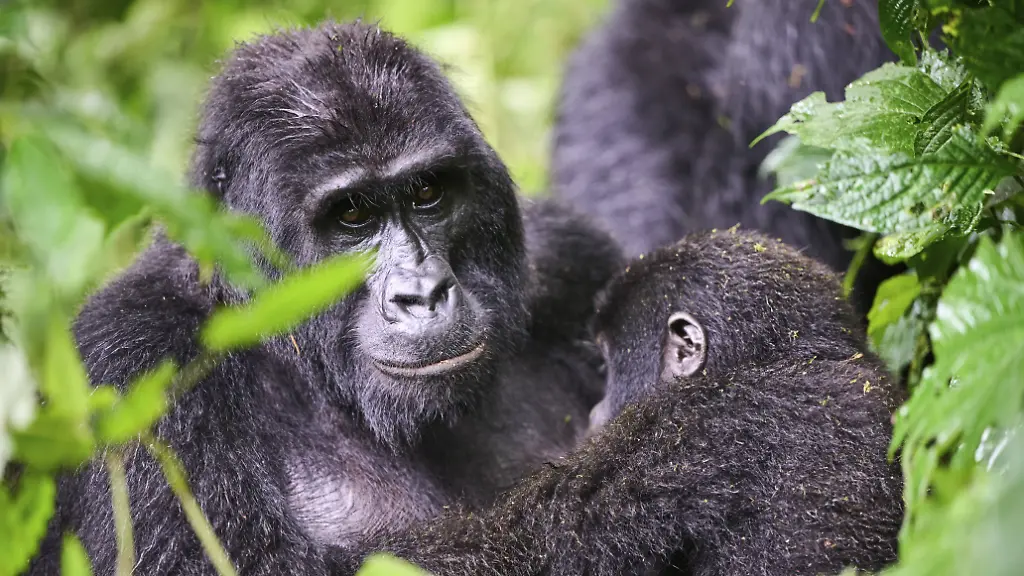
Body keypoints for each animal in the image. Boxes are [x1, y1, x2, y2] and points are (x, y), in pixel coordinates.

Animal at [28, 21, 624, 576]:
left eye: (428, 191)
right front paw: (643, 468)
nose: (423, 293)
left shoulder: (570, 258)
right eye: (353, 214)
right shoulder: (135, 358)